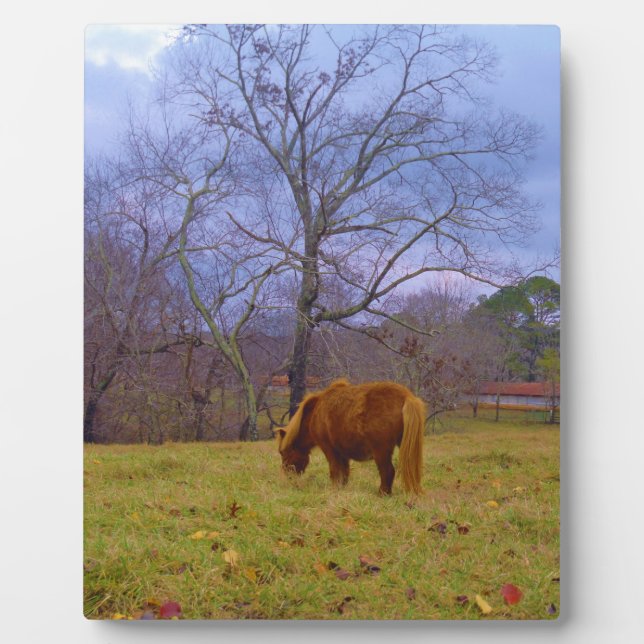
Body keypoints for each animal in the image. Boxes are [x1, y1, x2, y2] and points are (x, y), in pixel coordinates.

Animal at [275, 379, 425, 495]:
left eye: (283, 452)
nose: (288, 476)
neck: (315, 412)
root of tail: (406, 396)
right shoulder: (342, 452)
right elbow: (344, 473)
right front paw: (341, 489)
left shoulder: (329, 449)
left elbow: (335, 471)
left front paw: (334, 490)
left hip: (381, 451)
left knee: (387, 471)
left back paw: (382, 494)